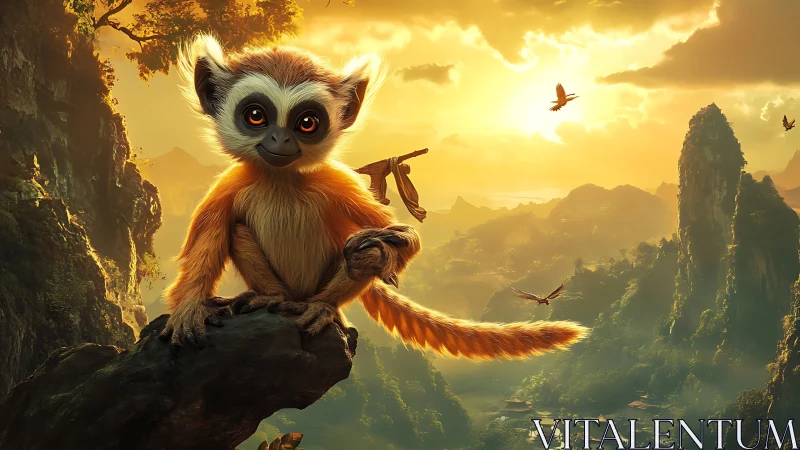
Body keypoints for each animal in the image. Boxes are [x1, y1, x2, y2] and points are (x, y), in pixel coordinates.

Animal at [159, 33, 589, 360]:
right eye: (256, 116)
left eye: (307, 123)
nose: (280, 141)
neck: (282, 180)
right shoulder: (226, 187)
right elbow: (205, 247)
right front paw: (189, 310)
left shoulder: (337, 181)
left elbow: (398, 237)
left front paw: (384, 248)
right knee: (237, 232)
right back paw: (272, 298)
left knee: (356, 256)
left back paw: (324, 306)